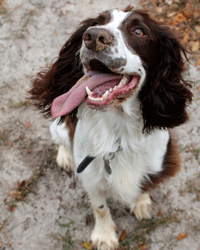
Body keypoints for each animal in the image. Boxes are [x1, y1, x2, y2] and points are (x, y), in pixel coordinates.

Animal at [29, 5, 192, 250]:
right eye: (97, 22)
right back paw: (65, 157)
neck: (120, 131)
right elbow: (100, 208)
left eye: (139, 31)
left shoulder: (157, 160)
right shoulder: (90, 176)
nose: (93, 36)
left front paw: (140, 201)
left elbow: (142, 185)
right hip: (59, 128)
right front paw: (105, 235)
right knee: (60, 140)